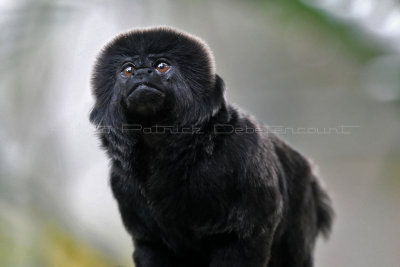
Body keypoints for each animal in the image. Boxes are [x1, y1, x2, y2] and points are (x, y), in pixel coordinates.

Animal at [89, 27, 332, 267]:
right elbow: (151, 246)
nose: (141, 73)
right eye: (128, 70)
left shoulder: (246, 155)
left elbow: (246, 237)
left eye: (161, 66)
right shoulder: (122, 185)